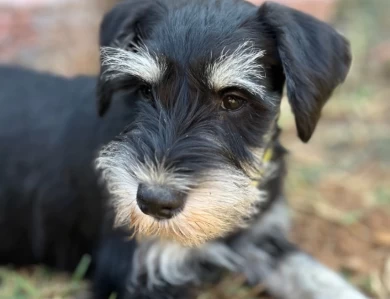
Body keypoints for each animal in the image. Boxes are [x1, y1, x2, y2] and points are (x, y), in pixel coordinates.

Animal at [0, 0, 366, 299]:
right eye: (145, 90)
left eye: (233, 99)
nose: (154, 202)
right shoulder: (139, 273)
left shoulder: (262, 240)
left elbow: (319, 278)